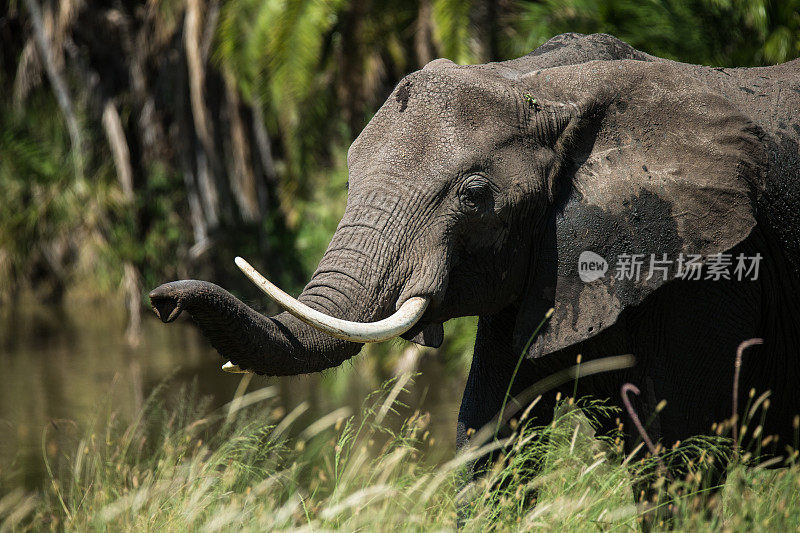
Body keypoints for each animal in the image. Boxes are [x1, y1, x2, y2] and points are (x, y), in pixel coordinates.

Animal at [152, 30, 800, 502]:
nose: (164, 300)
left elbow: (680, 463)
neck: (553, 88)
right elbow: (491, 447)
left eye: (474, 193)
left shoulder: (708, 278)